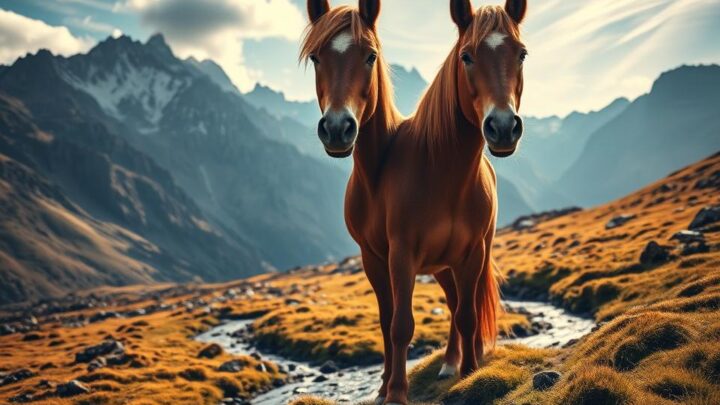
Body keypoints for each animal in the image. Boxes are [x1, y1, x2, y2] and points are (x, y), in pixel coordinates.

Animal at [302, 1, 527, 404]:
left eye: (521, 54)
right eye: (467, 56)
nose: (502, 127)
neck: (439, 170)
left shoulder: (472, 253)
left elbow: (468, 316)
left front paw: (470, 375)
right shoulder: (388, 257)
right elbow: (395, 323)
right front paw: (391, 391)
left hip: (463, 257)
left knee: (463, 305)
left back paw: (461, 362)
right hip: (436, 265)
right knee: (444, 304)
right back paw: (446, 363)